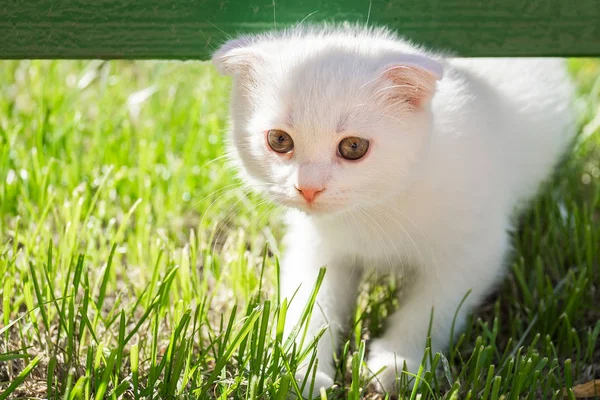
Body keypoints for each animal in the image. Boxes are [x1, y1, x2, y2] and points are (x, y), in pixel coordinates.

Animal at [213, 25, 576, 396]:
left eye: (353, 146)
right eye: (279, 140)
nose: (309, 188)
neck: (375, 207)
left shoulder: (475, 246)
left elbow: (435, 306)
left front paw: (398, 361)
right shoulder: (317, 246)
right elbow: (311, 299)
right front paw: (303, 369)